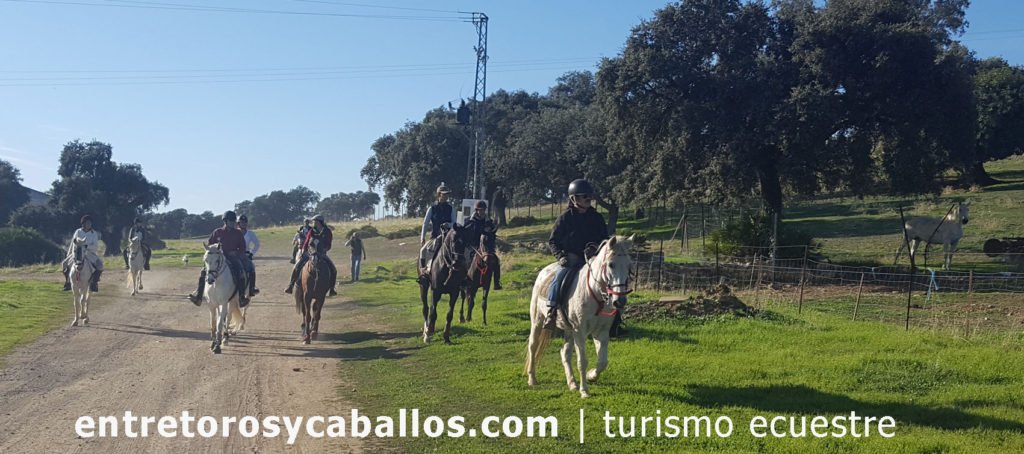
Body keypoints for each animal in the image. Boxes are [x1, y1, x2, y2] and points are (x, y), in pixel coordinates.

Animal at [525, 235, 634, 398]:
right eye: (611, 264)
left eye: (629, 266)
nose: (619, 301)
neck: (595, 295)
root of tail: (543, 272)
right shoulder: (580, 332)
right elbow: (582, 361)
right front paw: (585, 391)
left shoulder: (601, 332)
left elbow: (602, 362)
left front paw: (591, 376)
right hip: (538, 322)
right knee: (533, 346)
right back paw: (532, 379)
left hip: (568, 330)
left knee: (565, 353)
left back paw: (572, 383)